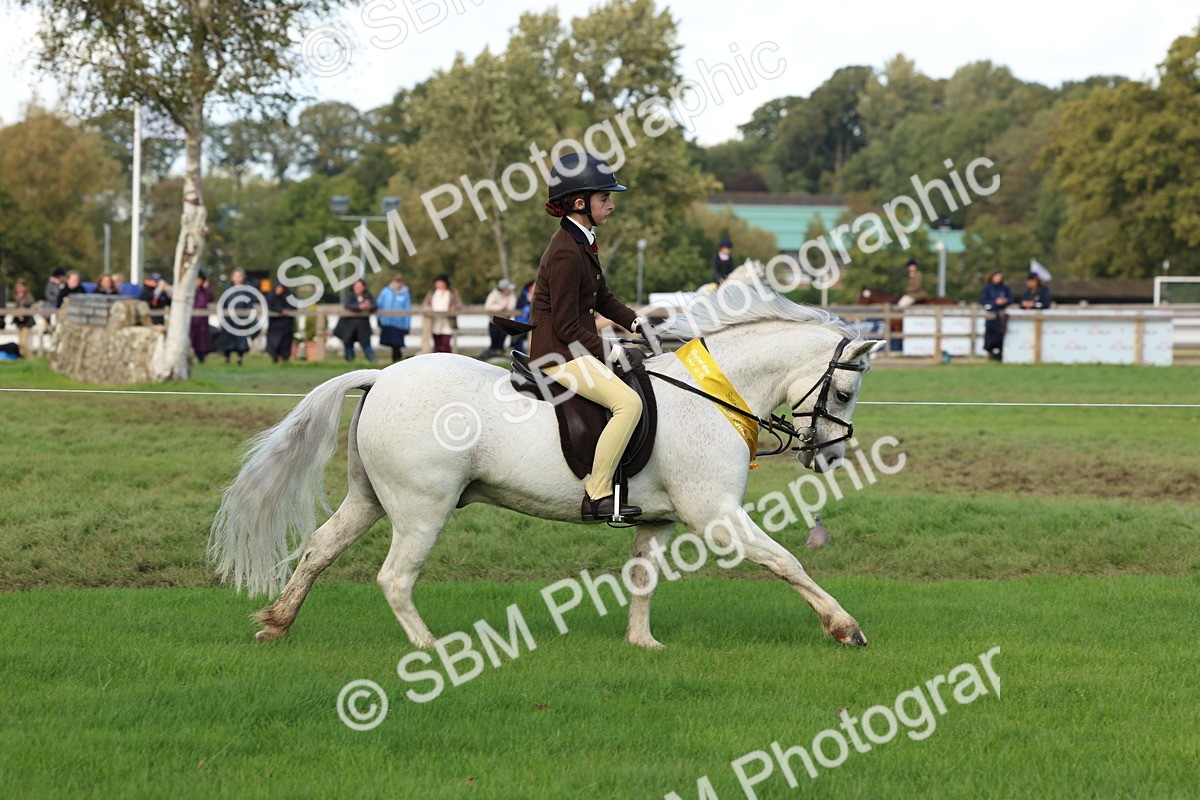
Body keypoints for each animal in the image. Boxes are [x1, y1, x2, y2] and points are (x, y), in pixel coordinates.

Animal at [209, 273, 886, 650]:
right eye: (845, 391)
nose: (830, 456)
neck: (710, 394)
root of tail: (382, 375)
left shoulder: (656, 520)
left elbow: (642, 579)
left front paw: (643, 644)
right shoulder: (715, 515)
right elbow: (787, 562)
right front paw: (846, 627)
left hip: (370, 498)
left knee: (320, 549)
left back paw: (276, 623)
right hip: (423, 508)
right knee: (395, 578)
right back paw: (431, 649)